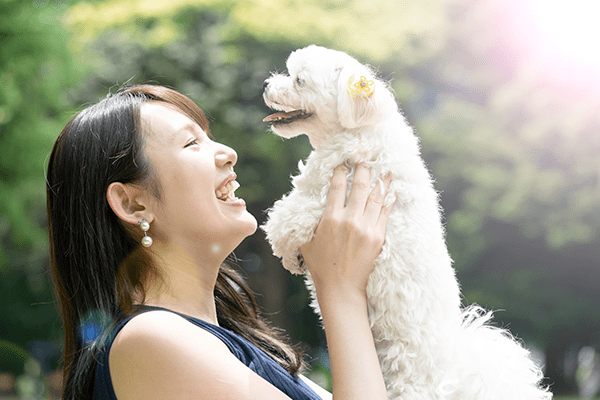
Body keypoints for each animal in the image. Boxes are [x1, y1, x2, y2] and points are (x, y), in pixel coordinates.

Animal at [260, 45, 552, 398]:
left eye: (299, 80)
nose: (265, 85)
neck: (357, 130)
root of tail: (453, 375)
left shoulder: (334, 199)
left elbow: (287, 216)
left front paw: (287, 250)